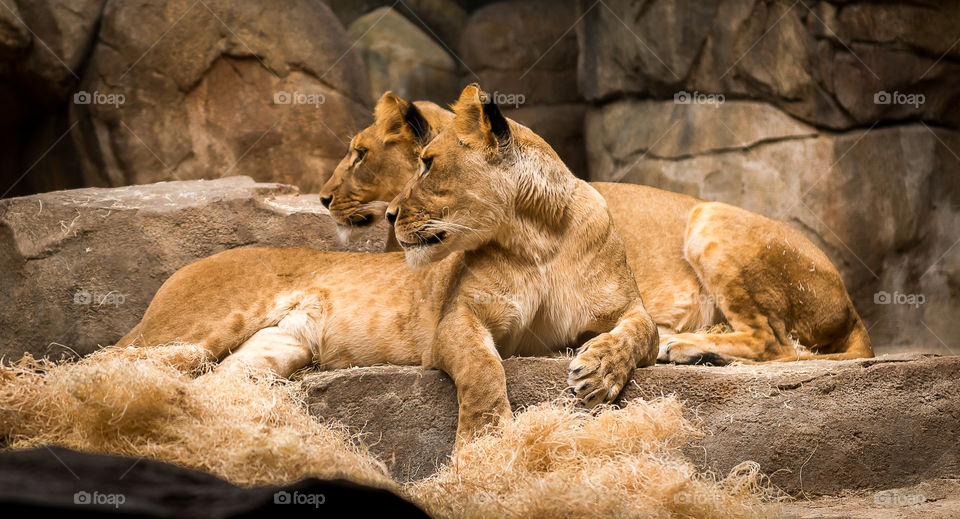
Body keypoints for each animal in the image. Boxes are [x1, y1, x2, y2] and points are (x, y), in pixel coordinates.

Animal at [116, 84, 659, 445]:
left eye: (429, 163)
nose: (394, 215)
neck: (538, 239)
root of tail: (184, 269)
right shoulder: (454, 319)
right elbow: (484, 371)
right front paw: (485, 447)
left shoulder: (626, 306)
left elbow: (642, 331)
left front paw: (598, 374)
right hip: (193, 330)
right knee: (114, 362)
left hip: (271, 351)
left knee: (213, 383)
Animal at [320, 91, 873, 364]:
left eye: (360, 154)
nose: (322, 198)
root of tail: (851, 307)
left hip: (709, 217)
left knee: (774, 342)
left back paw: (684, 348)